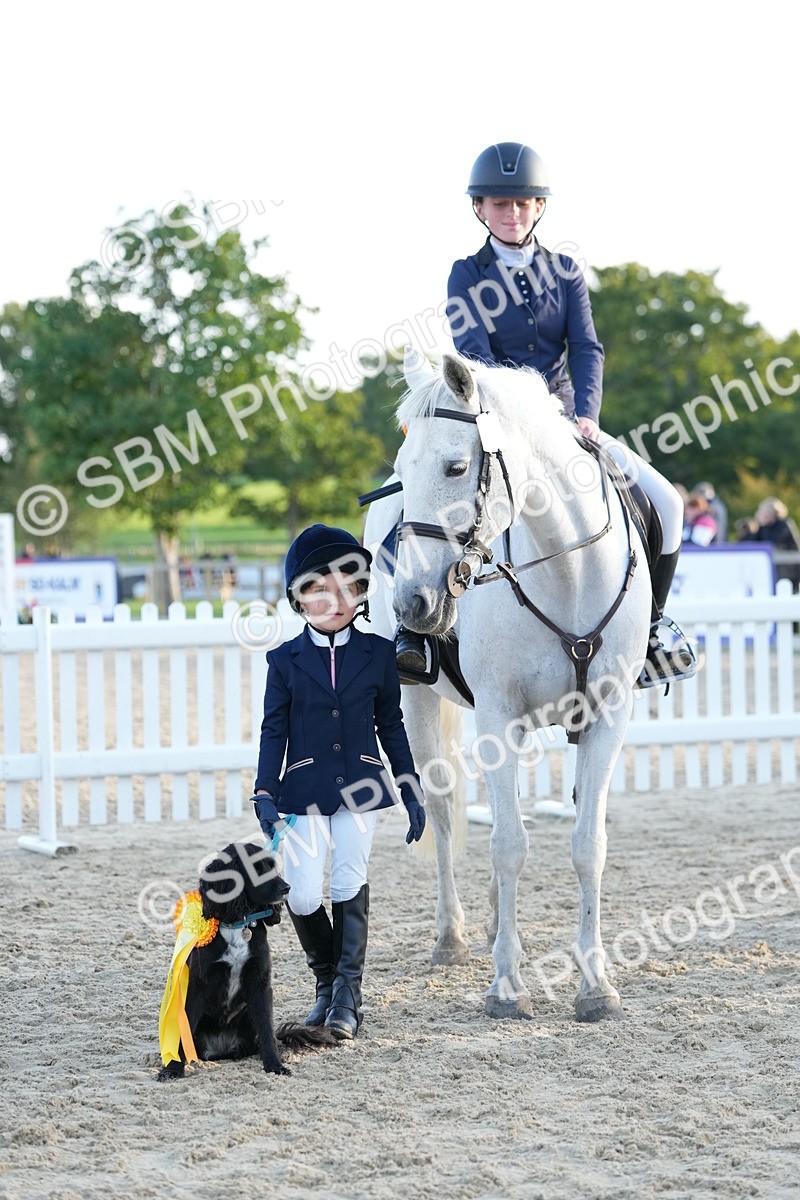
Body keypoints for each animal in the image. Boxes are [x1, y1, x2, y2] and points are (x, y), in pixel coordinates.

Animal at [362, 347, 653, 1022]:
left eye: (456, 465)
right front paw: (506, 986)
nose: (414, 604)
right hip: (418, 702)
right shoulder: (498, 715)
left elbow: (586, 844)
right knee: (445, 810)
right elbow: (507, 845)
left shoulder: (608, 715)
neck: (566, 568)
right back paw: (453, 937)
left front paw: (595, 987)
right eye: (402, 470)